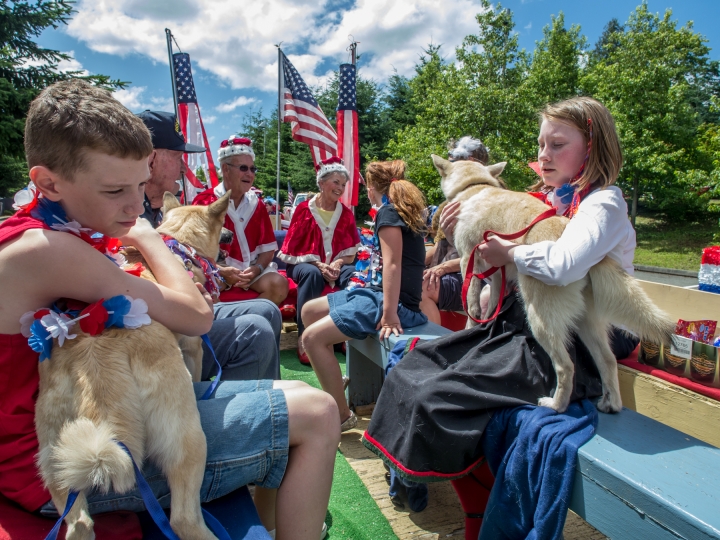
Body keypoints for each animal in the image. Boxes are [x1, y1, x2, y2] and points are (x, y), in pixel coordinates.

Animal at [34, 192, 231, 536]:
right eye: (223, 225)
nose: (233, 236)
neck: (178, 243)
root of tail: (98, 364)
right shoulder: (193, 347)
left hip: (56, 460)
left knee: (79, 523)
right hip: (188, 440)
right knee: (183, 519)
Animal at [434, 155, 676, 414]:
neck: (474, 186)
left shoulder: (468, 262)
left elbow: (472, 306)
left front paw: (470, 328)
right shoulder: (497, 272)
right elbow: (491, 304)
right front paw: (487, 323)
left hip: (539, 319)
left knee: (566, 367)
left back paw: (555, 405)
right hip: (586, 322)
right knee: (607, 360)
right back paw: (610, 404)